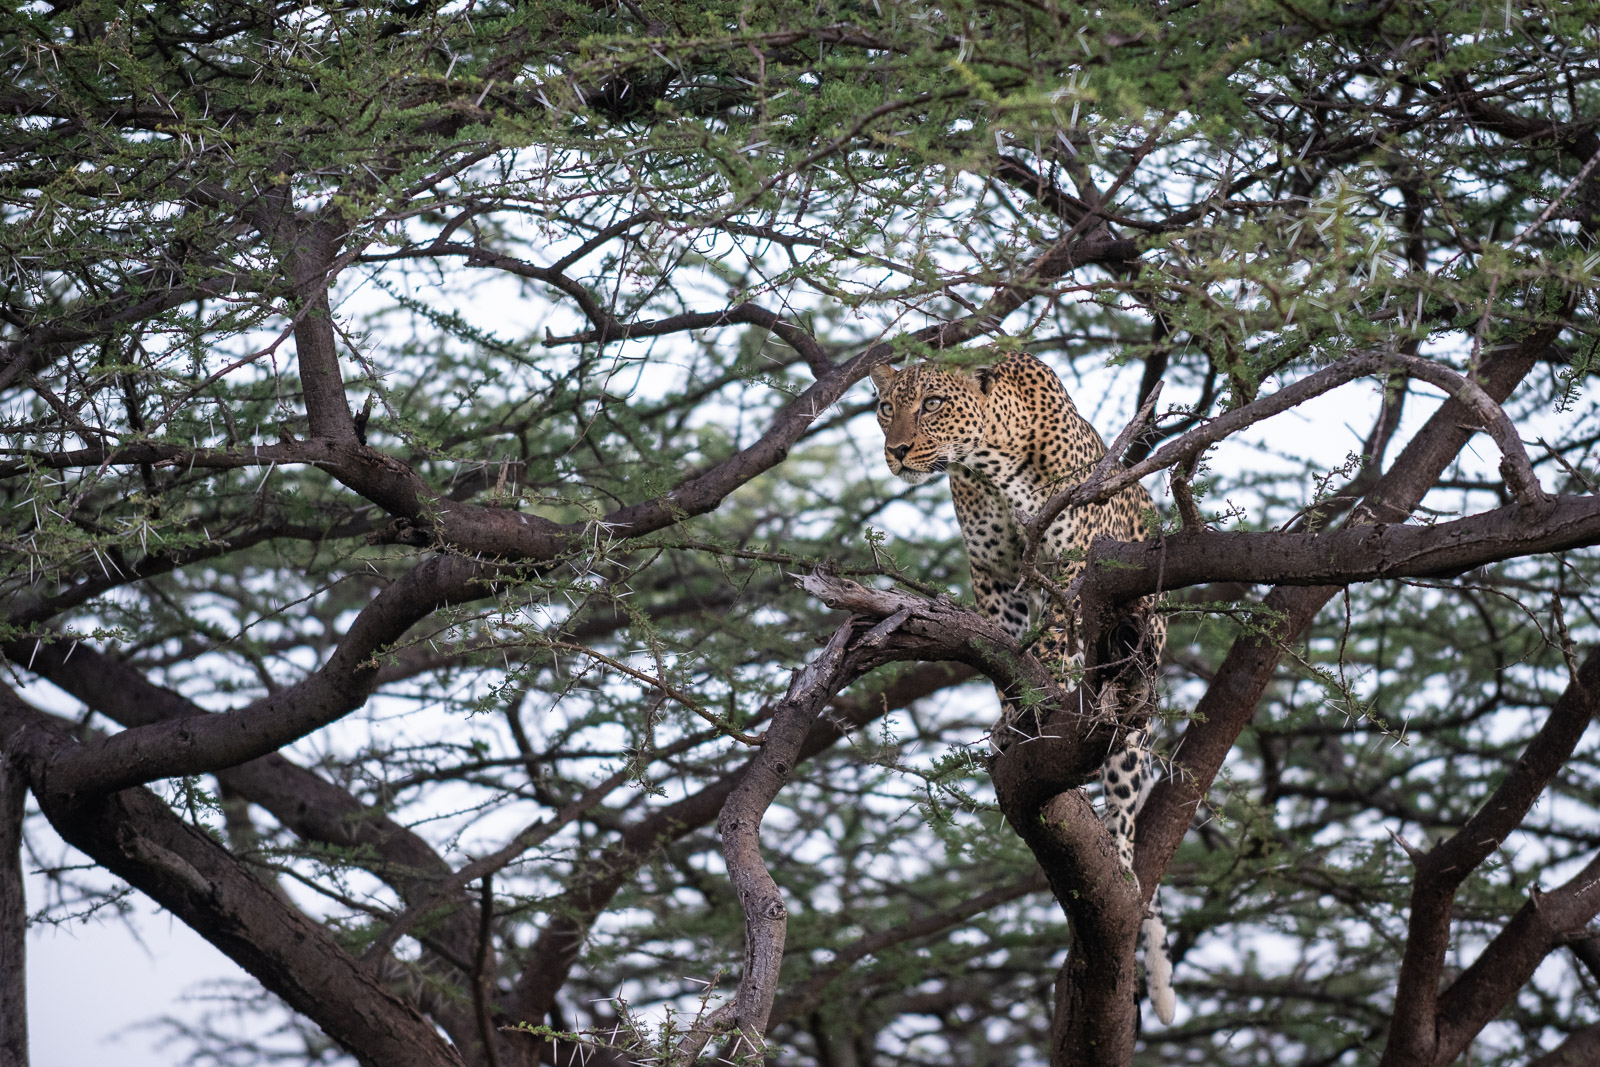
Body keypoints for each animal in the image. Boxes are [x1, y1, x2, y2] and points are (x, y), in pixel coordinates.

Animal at [876, 348, 1177, 1023]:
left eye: (932, 403)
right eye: (885, 407)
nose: (897, 450)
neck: (989, 465)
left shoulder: (1071, 569)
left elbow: (1049, 646)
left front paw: (1045, 703)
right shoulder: (994, 576)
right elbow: (1007, 649)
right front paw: (1013, 719)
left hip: (1136, 693)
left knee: (1124, 809)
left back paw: (1120, 866)